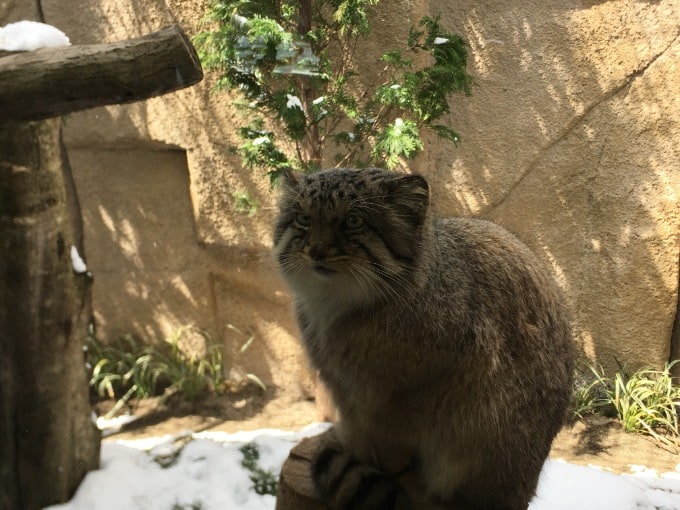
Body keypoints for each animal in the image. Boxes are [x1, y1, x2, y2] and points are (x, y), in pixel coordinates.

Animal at [270, 168, 572, 510]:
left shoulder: (416, 389)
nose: (316, 250)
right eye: (304, 218)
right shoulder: (344, 388)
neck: (339, 309)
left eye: (353, 221)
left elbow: (395, 438)